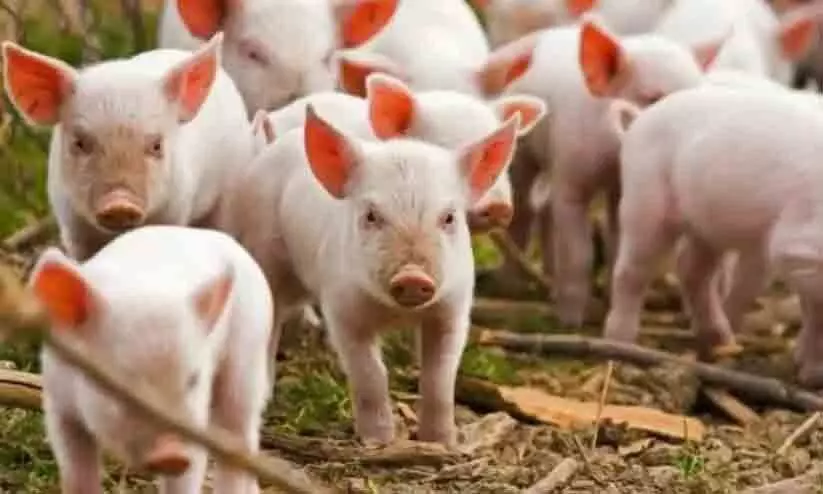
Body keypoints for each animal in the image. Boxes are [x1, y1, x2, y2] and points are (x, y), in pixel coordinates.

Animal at [29, 225, 273, 494]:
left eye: (193, 380)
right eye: (121, 383)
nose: (172, 453)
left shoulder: (194, 420)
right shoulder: (58, 404)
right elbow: (76, 474)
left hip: (249, 353)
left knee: (240, 437)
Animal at [222, 104, 520, 445]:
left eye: (449, 217)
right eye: (371, 216)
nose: (412, 277)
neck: (395, 314)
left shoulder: (453, 308)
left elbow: (440, 376)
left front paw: (441, 442)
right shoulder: (342, 308)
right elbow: (370, 374)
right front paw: (379, 442)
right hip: (265, 252)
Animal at [497, 16, 724, 327]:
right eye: (653, 98)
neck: (613, 162)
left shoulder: (621, 189)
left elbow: (616, 244)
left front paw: (606, 304)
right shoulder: (571, 174)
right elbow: (579, 252)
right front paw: (571, 322)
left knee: (546, 215)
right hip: (524, 151)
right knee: (524, 209)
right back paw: (514, 285)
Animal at [604, 85, 823, 386]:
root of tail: (639, 119)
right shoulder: (796, 243)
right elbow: (817, 308)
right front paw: (813, 376)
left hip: (705, 227)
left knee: (691, 269)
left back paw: (720, 341)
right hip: (644, 198)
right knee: (631, 271)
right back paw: (620, 345)